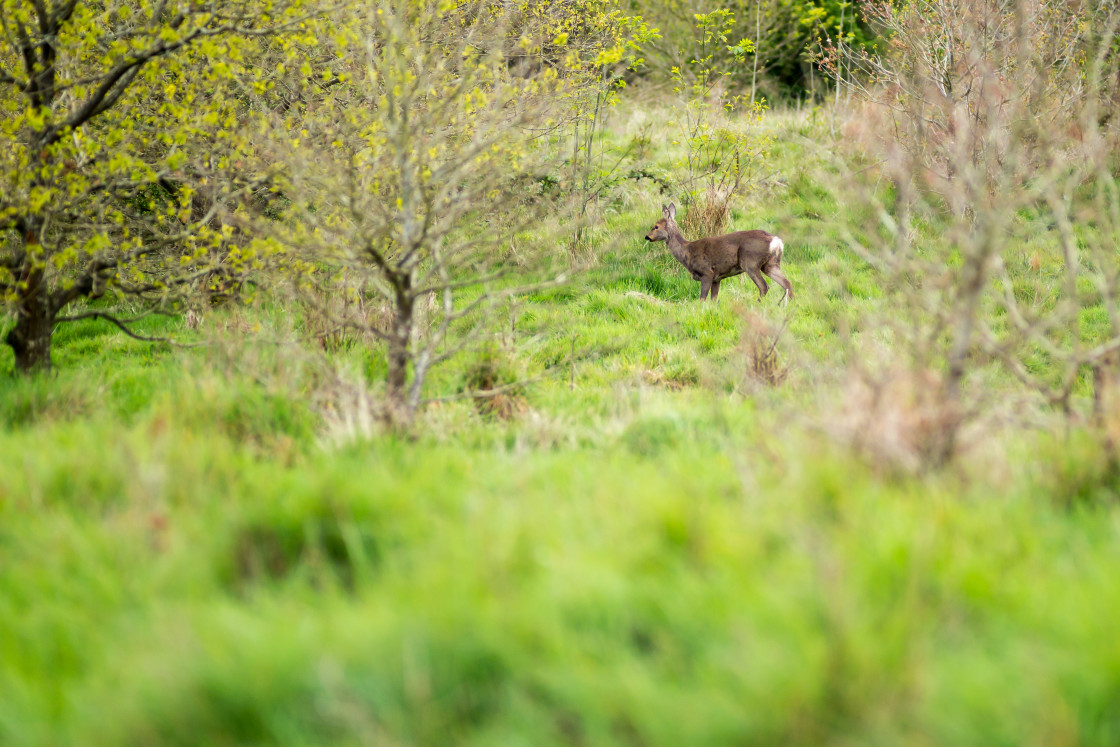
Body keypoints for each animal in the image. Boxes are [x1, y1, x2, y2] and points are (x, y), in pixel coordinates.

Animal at [645, 202, 792, 304]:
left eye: (656, 226)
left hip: (750, 262)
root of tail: (777, 241)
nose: (647, 237)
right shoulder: (717, 278)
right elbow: (713, 299)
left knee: (764, 286)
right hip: (770, 264)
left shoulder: (707, 272)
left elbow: (702, 299)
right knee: (787, 282)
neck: (687, 252)